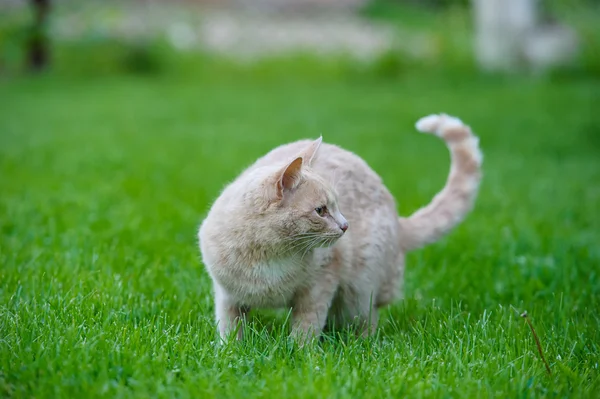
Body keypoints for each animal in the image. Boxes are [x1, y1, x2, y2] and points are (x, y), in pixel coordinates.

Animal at [199, 114, 480, 342]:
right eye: (321, 210)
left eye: (337, 205)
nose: (346, 226)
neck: (269, 255)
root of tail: (398, 223)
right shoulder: (227, 297)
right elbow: (230, 331)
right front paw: (230, 353)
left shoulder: (320, 287)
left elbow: (306, 328)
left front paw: (298, 354)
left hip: (359, 290)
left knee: (368, 319)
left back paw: (362, 345)